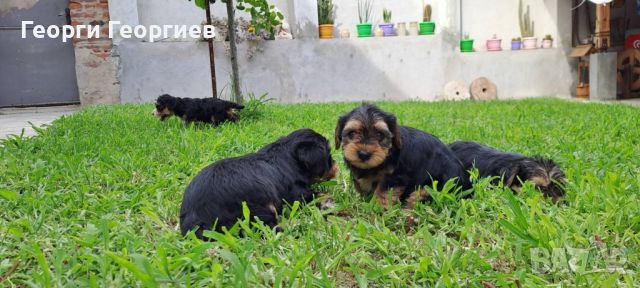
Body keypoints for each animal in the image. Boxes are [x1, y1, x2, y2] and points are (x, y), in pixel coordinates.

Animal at [179, 128, 338, 238]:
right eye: (328, 155)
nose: (337, 166)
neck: (289, 158)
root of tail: (193, 220)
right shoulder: (297, 194)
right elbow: (317, 194)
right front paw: (328, 201)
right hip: (258, 207)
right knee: (270, 229)